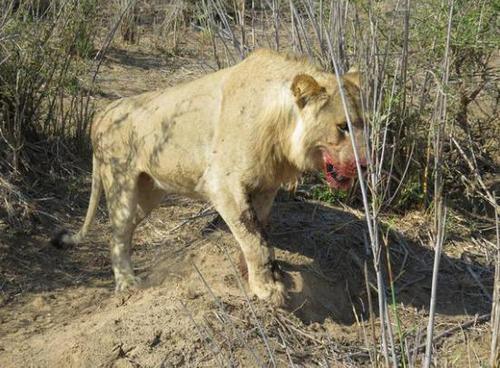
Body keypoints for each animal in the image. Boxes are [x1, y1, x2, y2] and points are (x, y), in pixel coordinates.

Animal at [53, 49, 368, 308]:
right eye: (343, 127)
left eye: (362, 123)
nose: (364, 165)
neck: (280, 131)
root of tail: (102, 113)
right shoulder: (222, 185)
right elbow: (254, 238)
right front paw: (267, 289)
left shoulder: (265, 187)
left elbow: (259, 233)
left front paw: (251, 272)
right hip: (121, 183)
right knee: (117, 234)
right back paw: (127, 283)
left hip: (149, 192)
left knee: (123, 229)